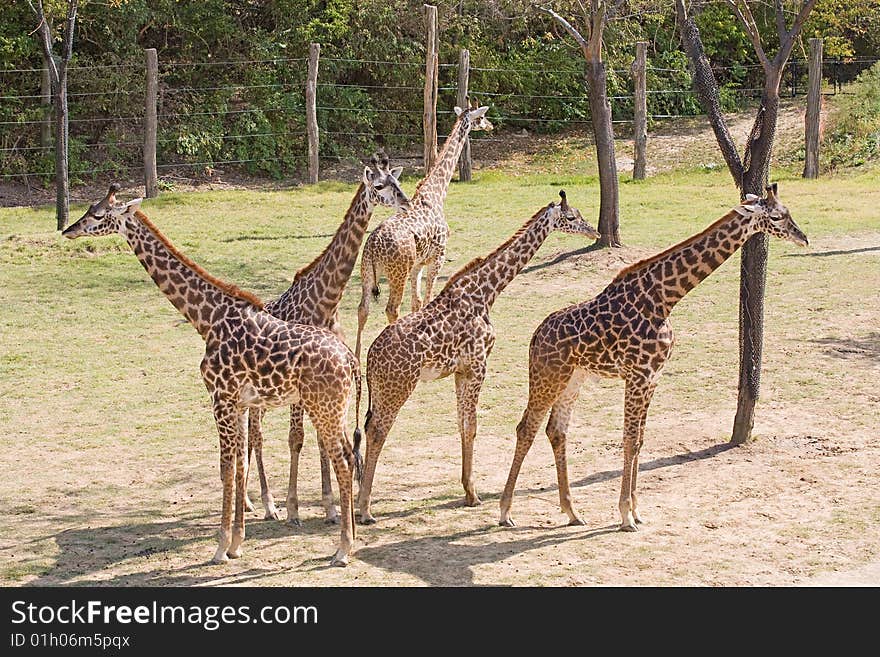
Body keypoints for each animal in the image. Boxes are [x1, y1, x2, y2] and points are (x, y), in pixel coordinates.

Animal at [63, 184, 362, 564]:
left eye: (99, 215)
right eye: (89, 209)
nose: (68, 230)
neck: (206, 319)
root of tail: (350, 359)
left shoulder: (219, 398)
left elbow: (225, 467)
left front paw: (221, 547)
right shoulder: (238, 402)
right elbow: (238, 466)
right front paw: (237, 542)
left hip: (323, 407)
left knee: (342, 460)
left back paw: (342, 549)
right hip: (334, 409)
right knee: (349, 456)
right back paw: (348, 539)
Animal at [244, 152, 410, 524]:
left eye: (398, 181)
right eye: (380, 185)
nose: (406, 203)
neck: (325, 302)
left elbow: (322, 440)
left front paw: (331, 506)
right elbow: (297, 438)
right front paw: (293, 508)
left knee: (251, 434)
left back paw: (250, 502)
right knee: (255, 435)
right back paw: (265, 503)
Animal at [356, 98, 496, 362]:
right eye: (481, 117)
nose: (491, 126)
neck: (436, 193)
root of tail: (374, 246)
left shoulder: (417, 264)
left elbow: (418, 302)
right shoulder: (437, 257)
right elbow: (429, 299)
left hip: (366, 272)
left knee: (363, 309)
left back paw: (357, 358)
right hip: (396, 273)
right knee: (391, 308)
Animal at [356, 190, 600, 524]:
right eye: (572, 216)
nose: (595, 232)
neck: (486, 292)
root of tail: (370, 357)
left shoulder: (461, 370)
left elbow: (462, 424)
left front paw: (468, 492)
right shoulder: (478, 364)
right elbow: (472, 425)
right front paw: (474, 494)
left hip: (381, 389)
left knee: (369, 427)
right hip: (399, 386)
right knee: (379, 430)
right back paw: (365, 509)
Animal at [498, 182, 808, 532]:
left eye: (787, 212)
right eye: (777, 216)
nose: (803, 237)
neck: (664, 299)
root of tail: (536, 336)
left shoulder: (652, 377)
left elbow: (640, 440)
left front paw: (636, 510)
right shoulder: (637, 375)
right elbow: (630, 439)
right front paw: (624, 515)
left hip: (573, 379)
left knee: (556, 430)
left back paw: (572, 512)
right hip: (547, 376)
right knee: (526, 427)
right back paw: (505, 512)